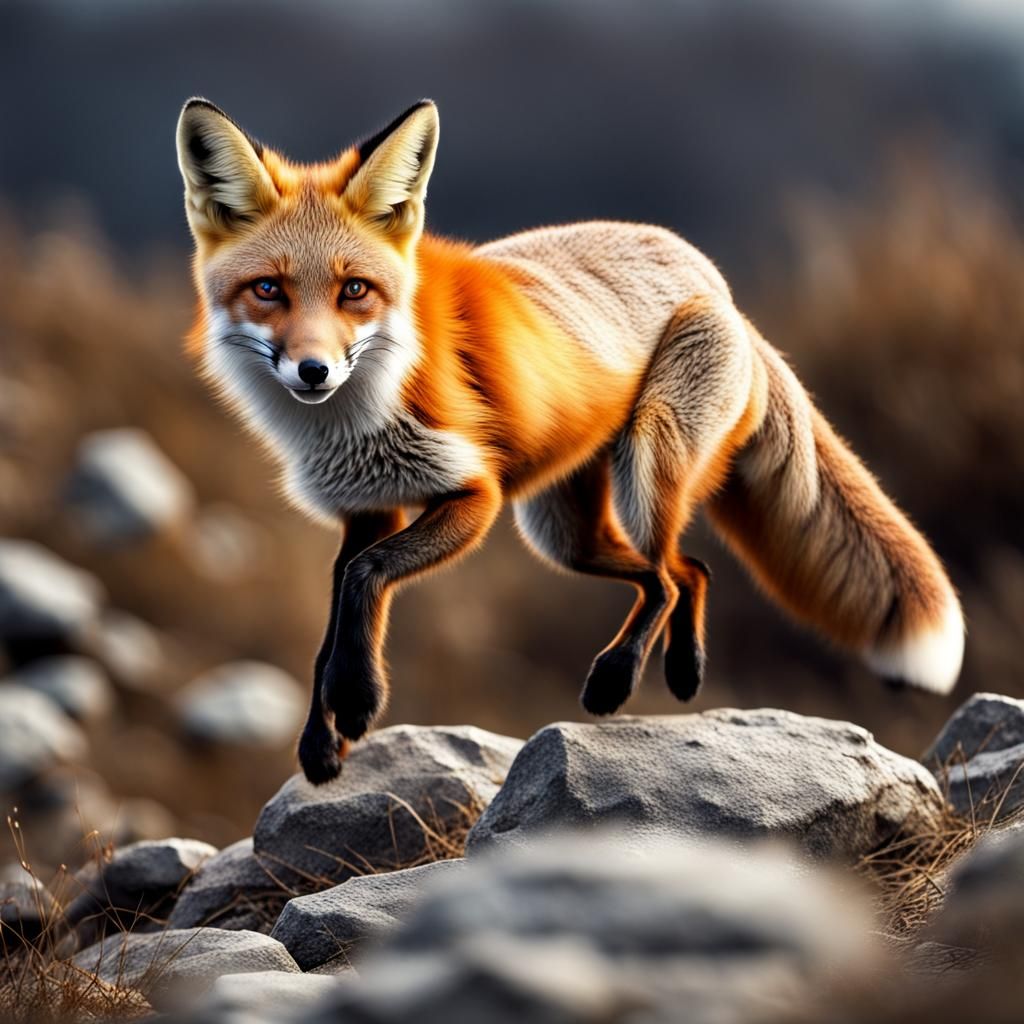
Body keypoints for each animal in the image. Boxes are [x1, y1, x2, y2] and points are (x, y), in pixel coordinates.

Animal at [175, 97, 965, 785]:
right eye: (269, 290)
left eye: (354, 291)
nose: (314, 370)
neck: (350, 422)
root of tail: (716, 282)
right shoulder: (368, 508)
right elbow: (338, 611)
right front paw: (322, 741)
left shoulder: (474, 496)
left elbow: (365, 580)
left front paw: (358, 701)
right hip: (563, 534)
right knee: (687, 571)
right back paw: (681, 670)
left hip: (642, 469)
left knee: (672, 573)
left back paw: (619, 679)